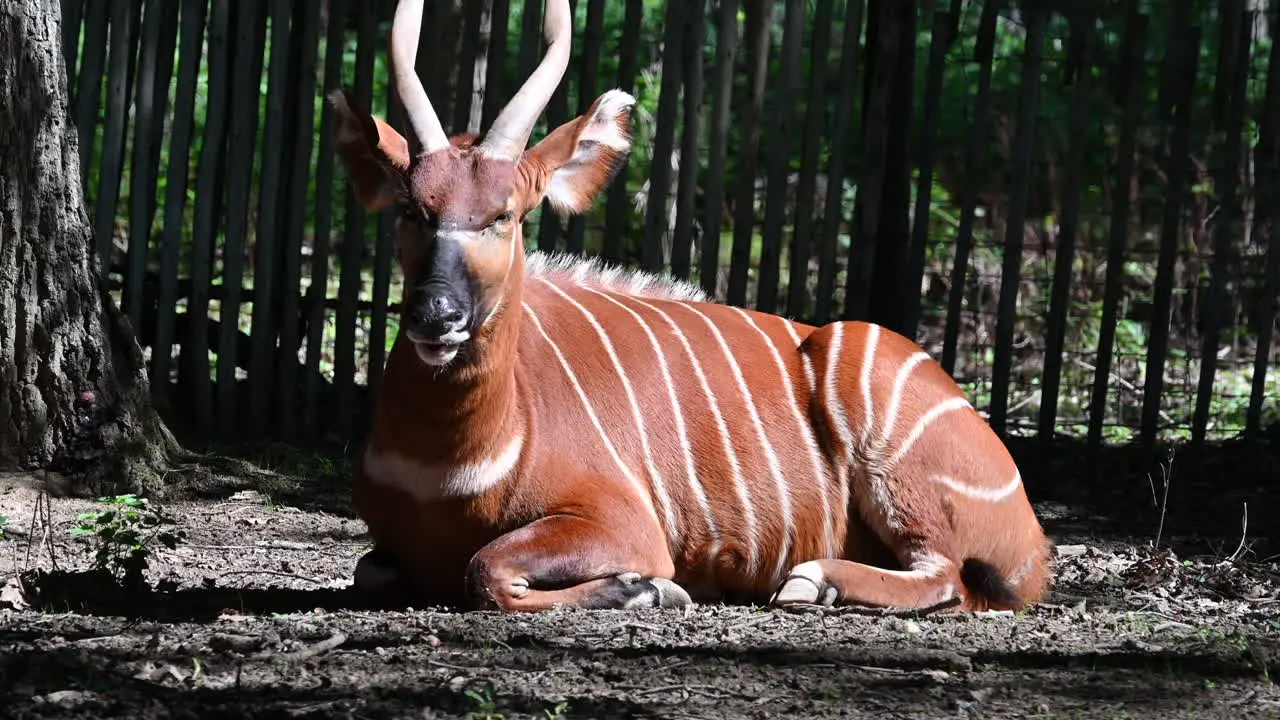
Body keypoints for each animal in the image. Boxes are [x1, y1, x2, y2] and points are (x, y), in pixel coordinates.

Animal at [330, 0, 1049, 609]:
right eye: (412, 209)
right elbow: (373, 571)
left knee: (946, 575)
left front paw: (646, 589)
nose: (436, 315)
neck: (449, 464)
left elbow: (488, 570)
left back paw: (808, 581)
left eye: (506, 214)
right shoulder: (388, 550)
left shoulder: (623, 523)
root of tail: (1035, 546)